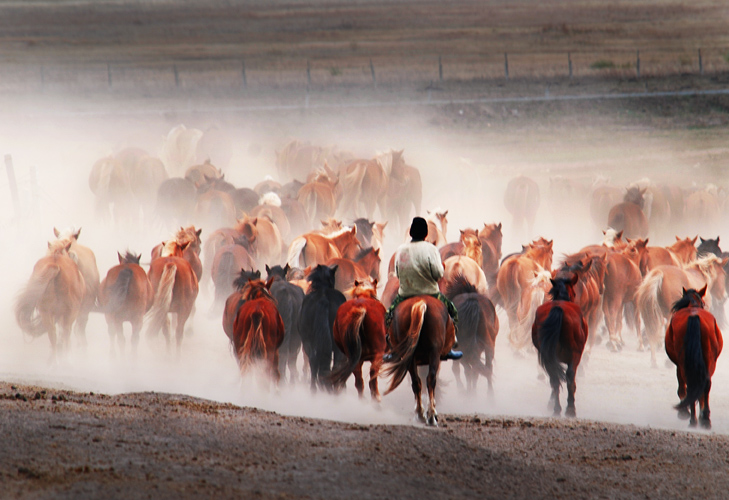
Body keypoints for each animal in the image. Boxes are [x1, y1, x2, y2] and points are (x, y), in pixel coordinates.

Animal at [382, 294, 456, 428]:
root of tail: (420, 303)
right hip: (433, 353)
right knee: (429, 379)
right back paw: (428, 415)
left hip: (411, 356)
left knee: (417, 382)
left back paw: (423, 414)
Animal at [532, 274, 588, 418]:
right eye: (574, 293)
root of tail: (558, 308)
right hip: (575, 355)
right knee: (570, 378)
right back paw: (570, 409)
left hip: (548, 356)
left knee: (554, 379)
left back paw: (556, 408)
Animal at [664, 288, 724, 428]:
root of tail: (694, 316)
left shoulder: (679, 365)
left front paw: (684, 412)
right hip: (708, 360)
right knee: (704, 383)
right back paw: (703, 418)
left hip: (686, 362)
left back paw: (694, 417)